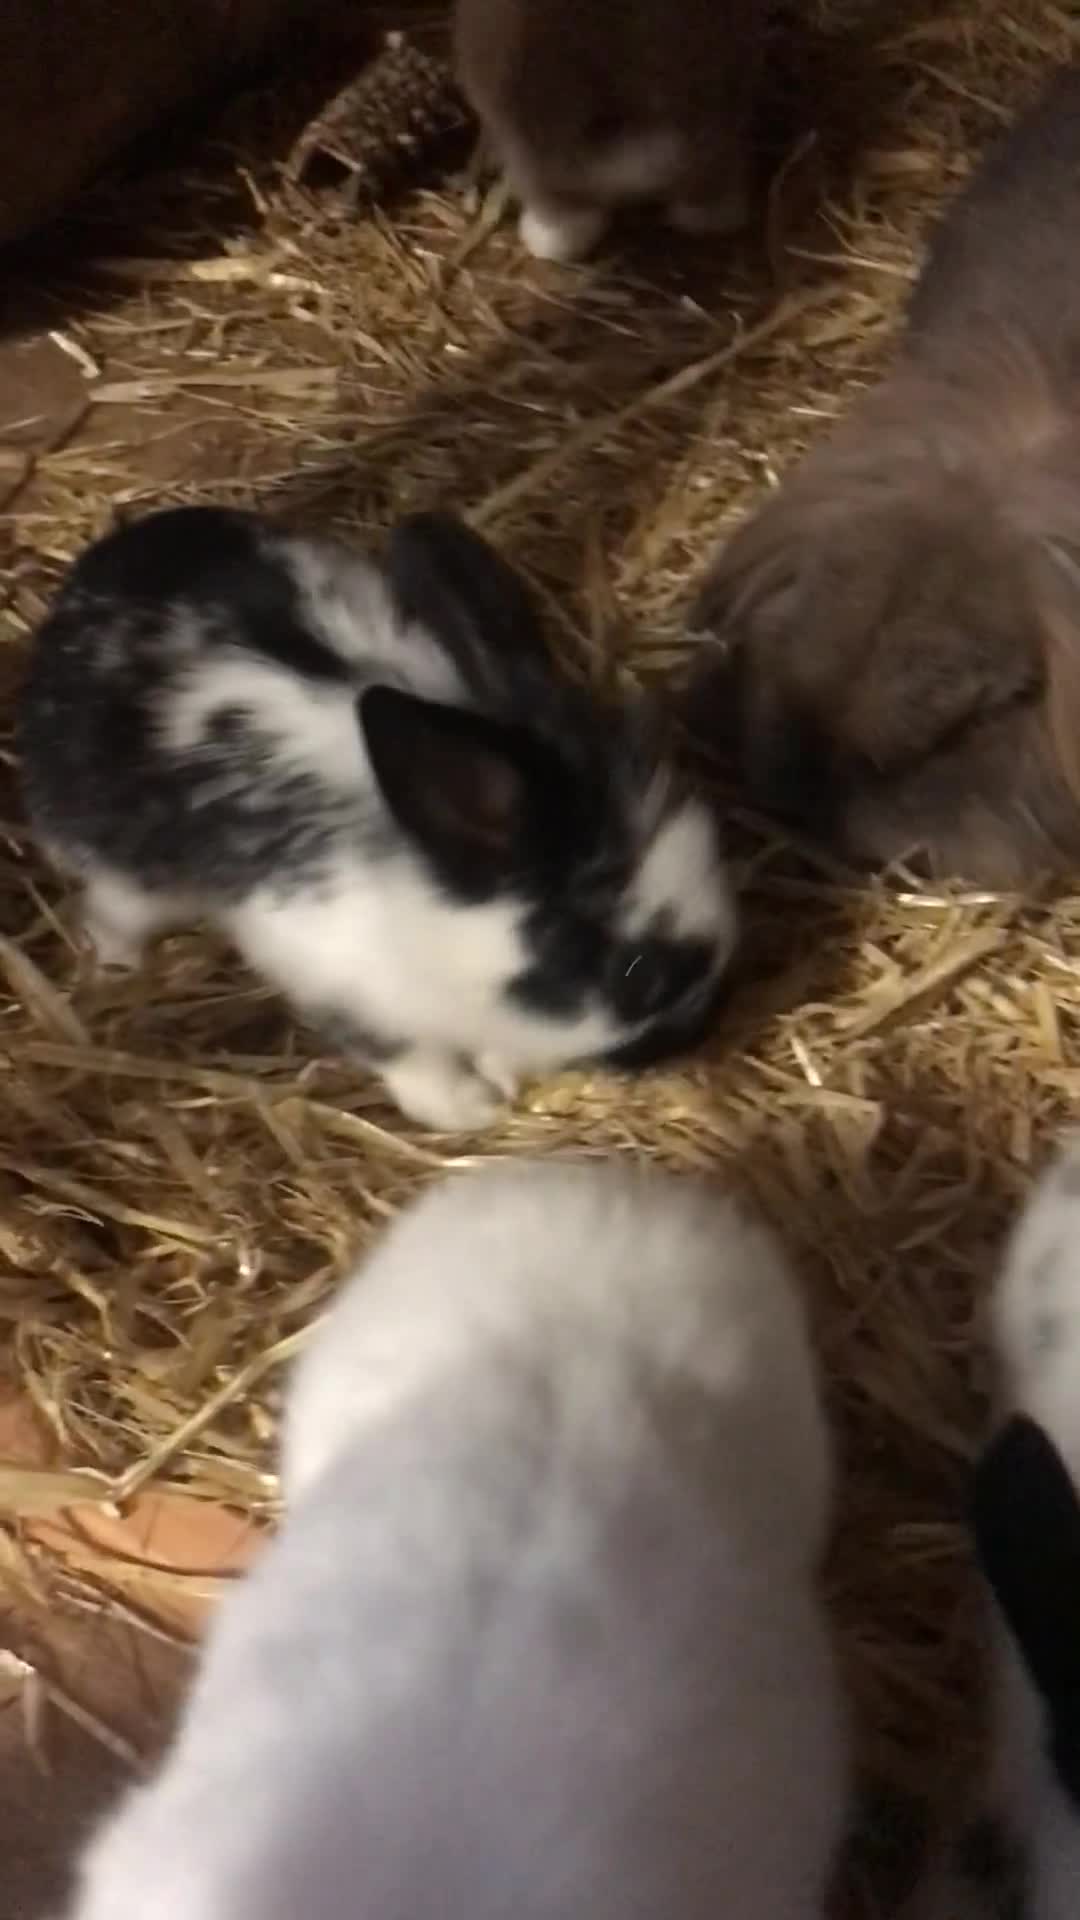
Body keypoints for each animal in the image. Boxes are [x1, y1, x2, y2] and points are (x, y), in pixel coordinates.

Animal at [17, 505, 737, 1132]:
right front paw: (469, 1109)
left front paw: (501, 1075)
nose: (702, 1029)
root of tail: (81, 594)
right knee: (110, 913)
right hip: (124, 870)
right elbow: (413, 1061)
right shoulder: (344, 986)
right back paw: (115, 970)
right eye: (636, 972)